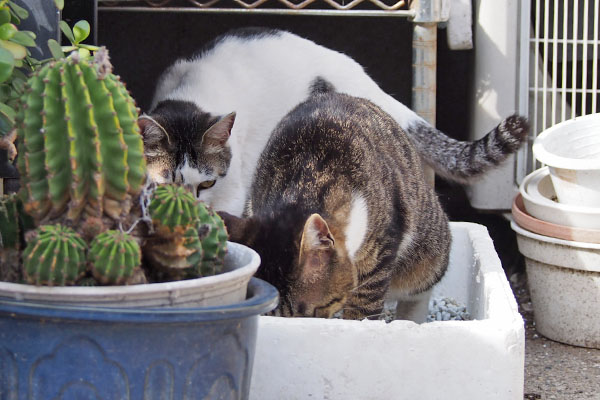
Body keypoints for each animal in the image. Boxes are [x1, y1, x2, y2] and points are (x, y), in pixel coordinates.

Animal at [138, 26, 528, 217]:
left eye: (205, 184)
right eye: (167, 183)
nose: (188, 206)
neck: (192, 97)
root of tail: (356, 75)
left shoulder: (233, 190)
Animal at [219, 92, 524, 320]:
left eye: (312, 310)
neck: (304, 180)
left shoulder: (382, 249)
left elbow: (364, 304)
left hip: (427, 252)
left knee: (420, 287)